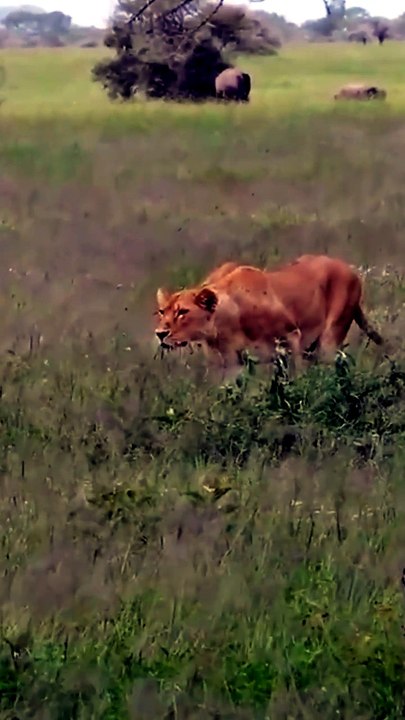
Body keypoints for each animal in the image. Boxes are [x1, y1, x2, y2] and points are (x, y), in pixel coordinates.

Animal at [155, 254, 383, 374]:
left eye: (183, 312)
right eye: (162, 311)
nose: (160, 333)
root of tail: (348, 267)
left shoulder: (291, 336)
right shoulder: (229, 361)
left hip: (328, 339)